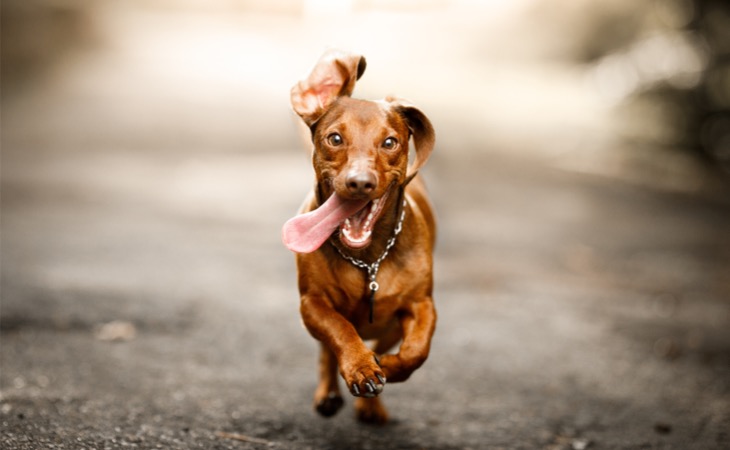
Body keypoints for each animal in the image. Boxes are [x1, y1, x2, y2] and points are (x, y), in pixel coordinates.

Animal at [282, 50, 436, 426]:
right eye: (335, 138)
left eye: (390, 142)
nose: (360, 183)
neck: (368, 259)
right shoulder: (312, 304)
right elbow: (340, 331)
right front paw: (360, 367)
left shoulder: (422, 304)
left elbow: (416, 351)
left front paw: (388, 367)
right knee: (327, 350)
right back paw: (329, 393)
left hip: (391, 325)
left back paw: (371, 404)